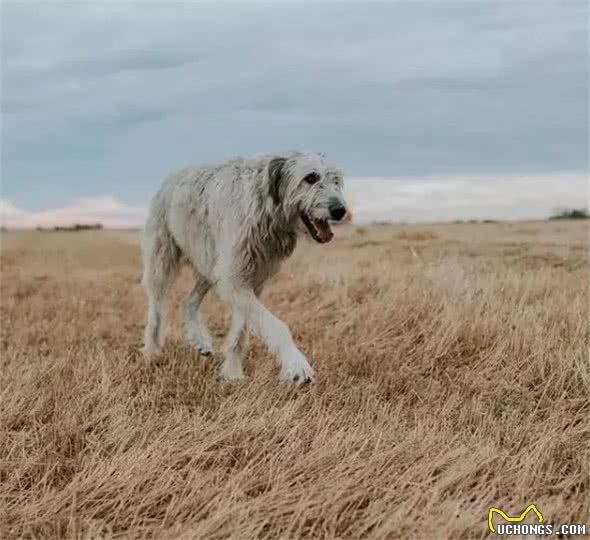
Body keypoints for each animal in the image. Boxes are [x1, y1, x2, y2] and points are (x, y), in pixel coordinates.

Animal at [140, 150, 350, 382]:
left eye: (336, 180)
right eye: (311, 177)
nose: (340, 210)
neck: (265, 206)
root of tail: (171, 175)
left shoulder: (252, 280)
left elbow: (241, 331)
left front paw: (232, 372)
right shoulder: (235, 279)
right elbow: (277, 326)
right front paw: (296, 363)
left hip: (210, 263)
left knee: (189, 300)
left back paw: (199, 339)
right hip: (162, 259)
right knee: (156, 309)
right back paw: (151, 352)